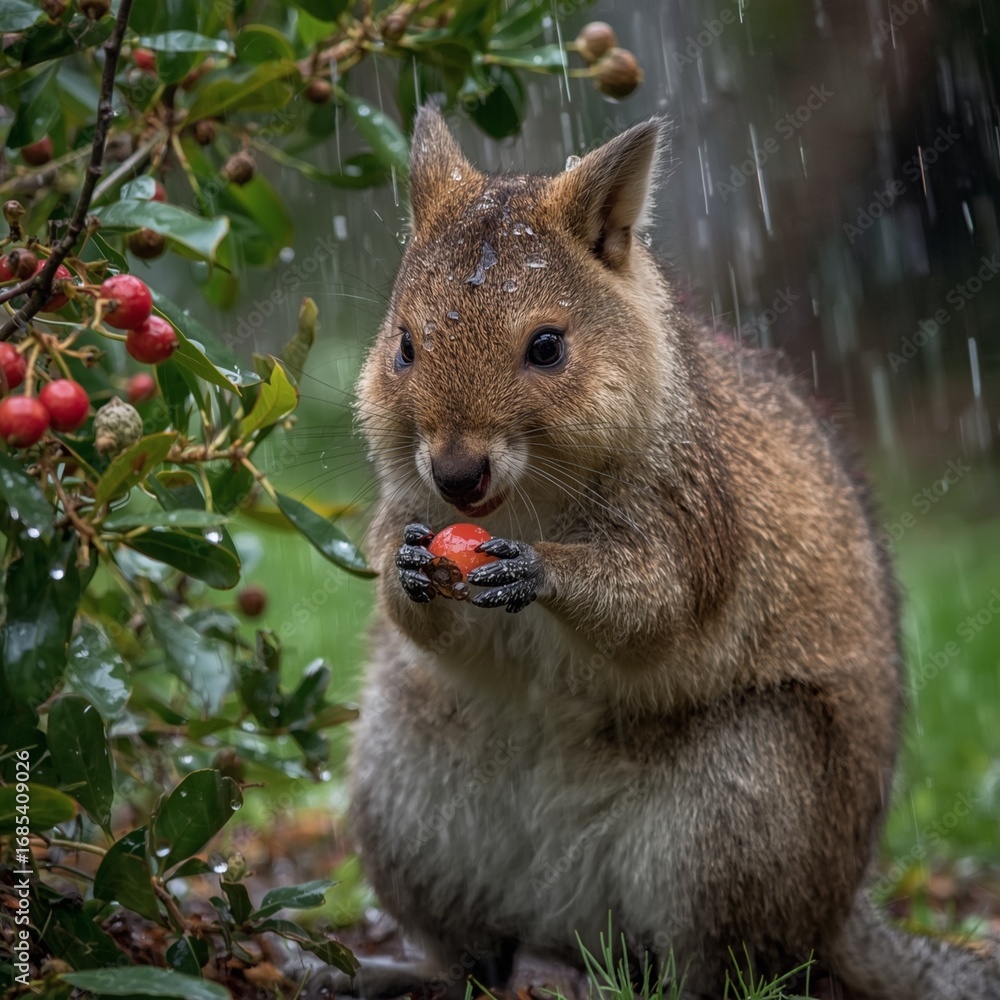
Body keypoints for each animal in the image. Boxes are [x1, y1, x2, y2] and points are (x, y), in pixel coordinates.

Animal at [309, 107, 1000, 999]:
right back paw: (404, 972)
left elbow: (654, 604)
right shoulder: (407, 508)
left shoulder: (695, 518)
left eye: (548, 347)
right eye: (403, 345)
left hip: (744, 813)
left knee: (731, 964)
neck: (529, 500)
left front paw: (541, 569)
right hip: (407, 799)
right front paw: (410, 571)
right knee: (478, 958)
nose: (458, 474)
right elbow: (417, 610)